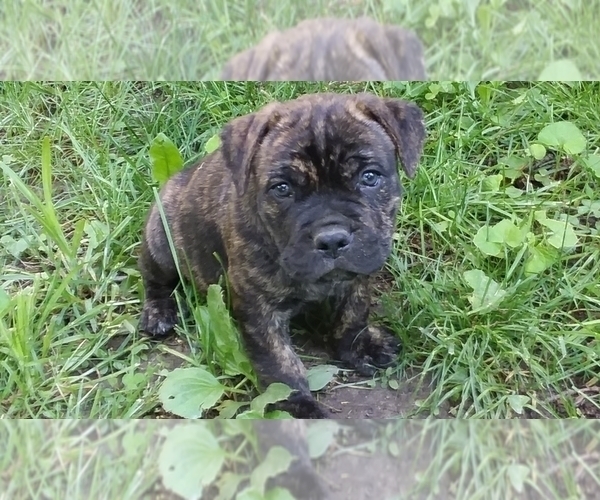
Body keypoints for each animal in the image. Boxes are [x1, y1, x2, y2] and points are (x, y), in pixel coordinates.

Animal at [138, 91, 424, 418]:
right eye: (282, 188)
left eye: (370, 177)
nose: (332, 239)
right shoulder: (258, 306)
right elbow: (278, 362)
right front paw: (299, 408)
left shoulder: (360, 274)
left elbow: (353, 314)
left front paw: (359, 345)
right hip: (161, 242)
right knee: (154, 278)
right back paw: (158, 313)